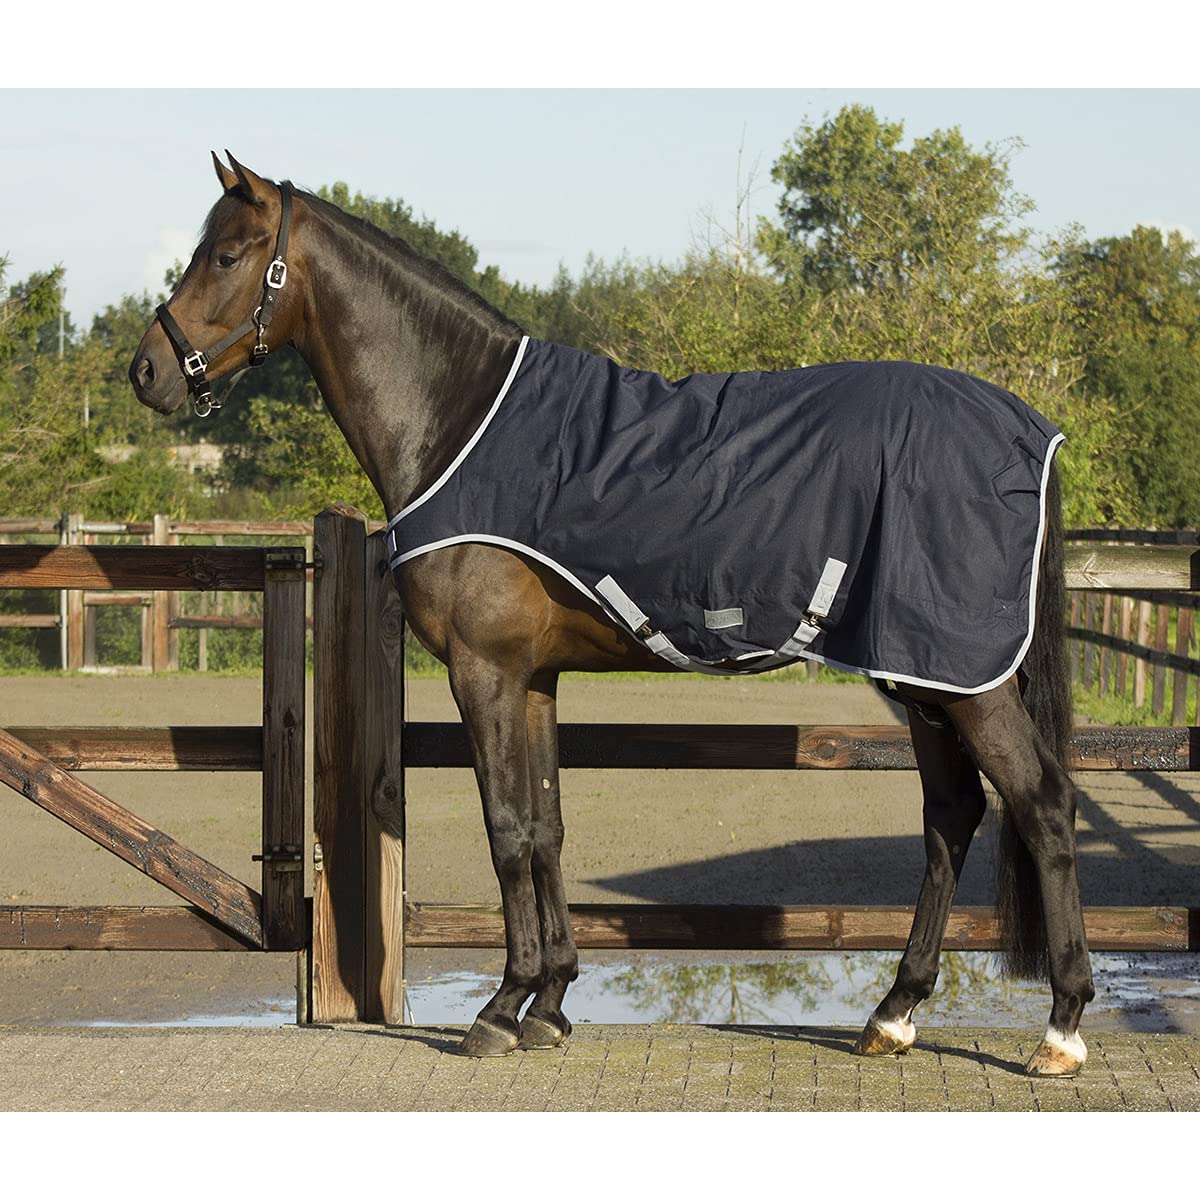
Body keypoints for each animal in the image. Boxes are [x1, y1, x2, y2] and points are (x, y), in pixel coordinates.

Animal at [129, 153, 1094, 1076]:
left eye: (225, 255)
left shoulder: (483, 671)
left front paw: (498, 1009)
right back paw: (894, 1014)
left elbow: (506, 829)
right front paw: (550, 1004)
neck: (458, 423)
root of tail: (1028, 429)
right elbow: (548, 827)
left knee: (1042, 803)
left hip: (962, 680)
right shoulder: (534, 678)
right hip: (921, 675)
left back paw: (1060, 1030)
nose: (145, 371)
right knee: (951, 816)